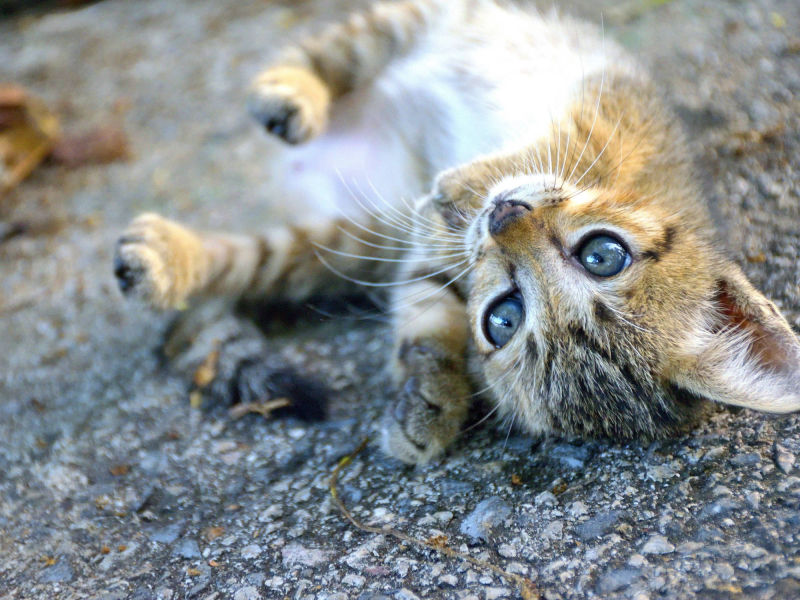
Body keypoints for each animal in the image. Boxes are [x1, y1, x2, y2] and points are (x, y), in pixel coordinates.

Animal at [112, 0, 800, 464]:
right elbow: (570, 141)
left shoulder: (424, 262)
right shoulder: (612, 104)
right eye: (605, 255)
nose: (504, 220)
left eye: (503, 318)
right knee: (335, 51)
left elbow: (425, 320)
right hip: (429, 24)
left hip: (352, 237)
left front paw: (431, 398)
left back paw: (167, 260)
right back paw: (290, 98)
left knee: (256, 261)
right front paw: (465, 186)